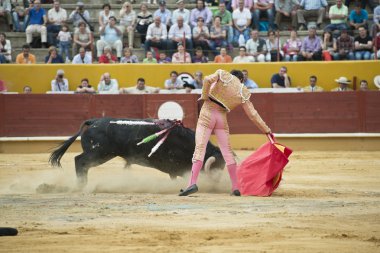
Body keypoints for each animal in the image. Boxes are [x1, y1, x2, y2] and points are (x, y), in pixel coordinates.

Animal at [48, 118, 224, 186]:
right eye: (217, 168)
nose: (217, 181)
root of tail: (93, 122)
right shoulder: (177, 168)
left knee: (82, 163)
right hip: (98, 153)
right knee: (79, 161)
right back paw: (81, 185)